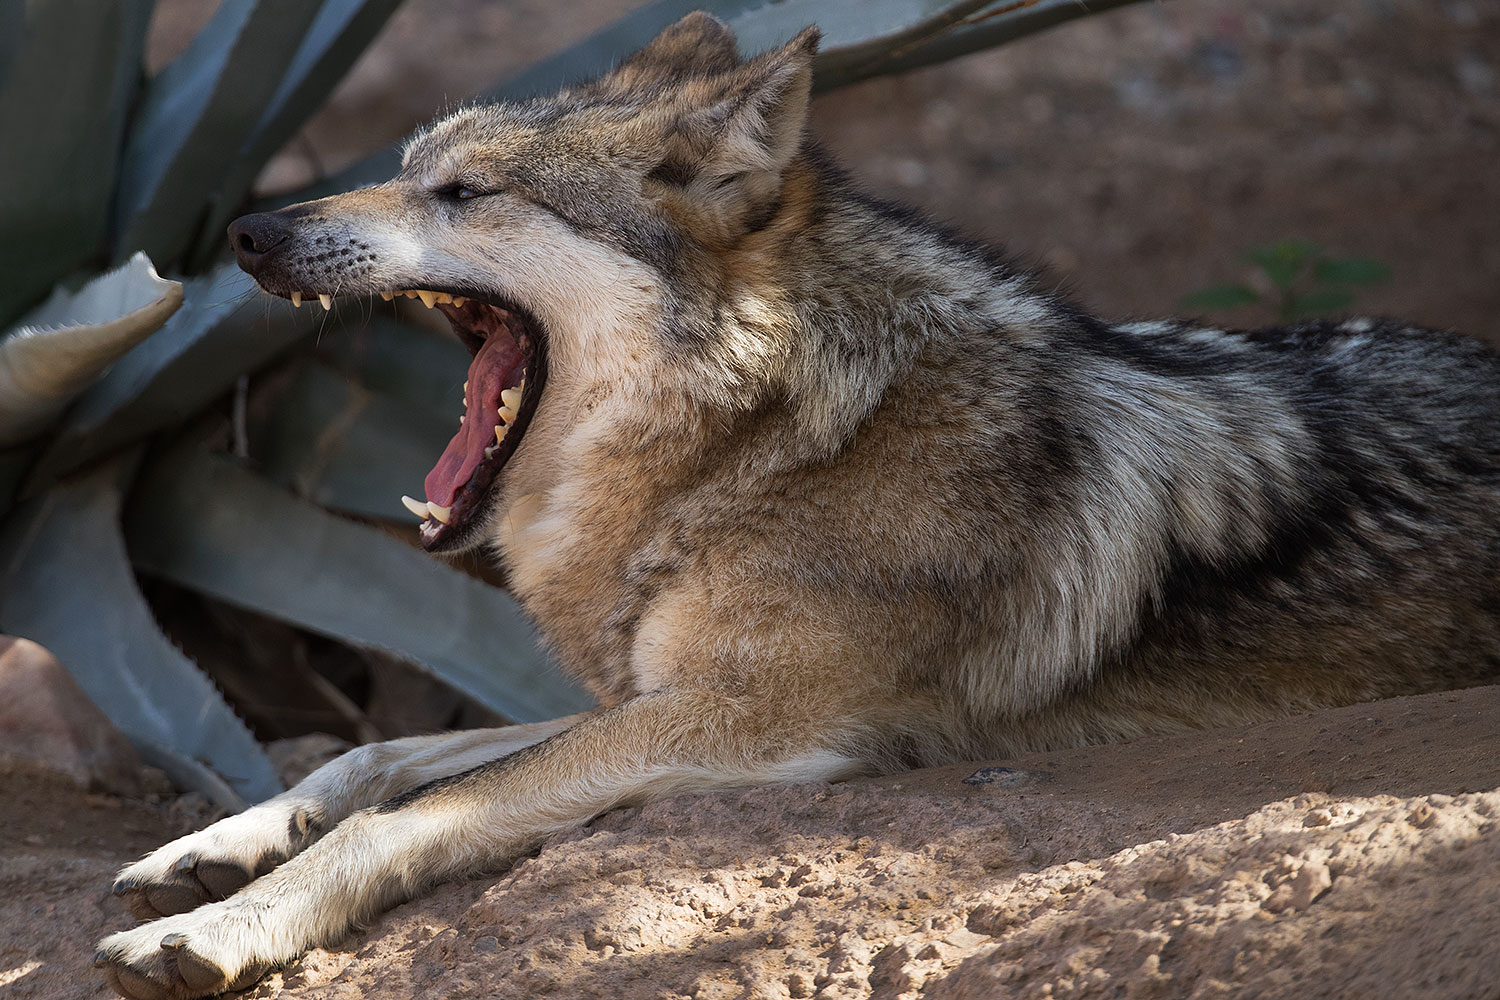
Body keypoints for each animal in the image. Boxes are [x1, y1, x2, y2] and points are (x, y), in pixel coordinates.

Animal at [94, 12, 1500, 998]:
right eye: (404, 170)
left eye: (467, 194)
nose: (254, 234)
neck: (768, 444)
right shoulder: (667, 687)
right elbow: (377, 754)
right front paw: (218, 848)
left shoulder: (757, 718)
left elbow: (415, 806)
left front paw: (222, 925)